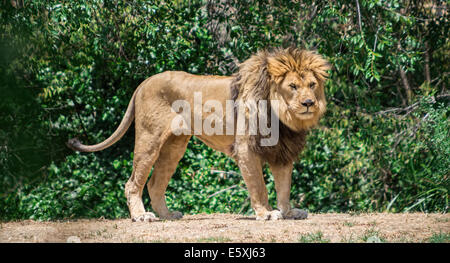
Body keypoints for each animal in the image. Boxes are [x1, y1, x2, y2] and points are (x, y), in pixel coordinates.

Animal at [69, 47, 330, 223]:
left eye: (312, 85)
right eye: (293, 86)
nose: (309, 103)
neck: (284, 118)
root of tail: (144, 82)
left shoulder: (282, 151)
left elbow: (284, 187)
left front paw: (289, 212)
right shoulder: (246, 149)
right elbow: (258, 185)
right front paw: (265, 213)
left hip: (174, 147)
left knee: (155, 183)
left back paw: (168, 214)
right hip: (149, 139)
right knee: (133, 182)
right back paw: (142, 216)